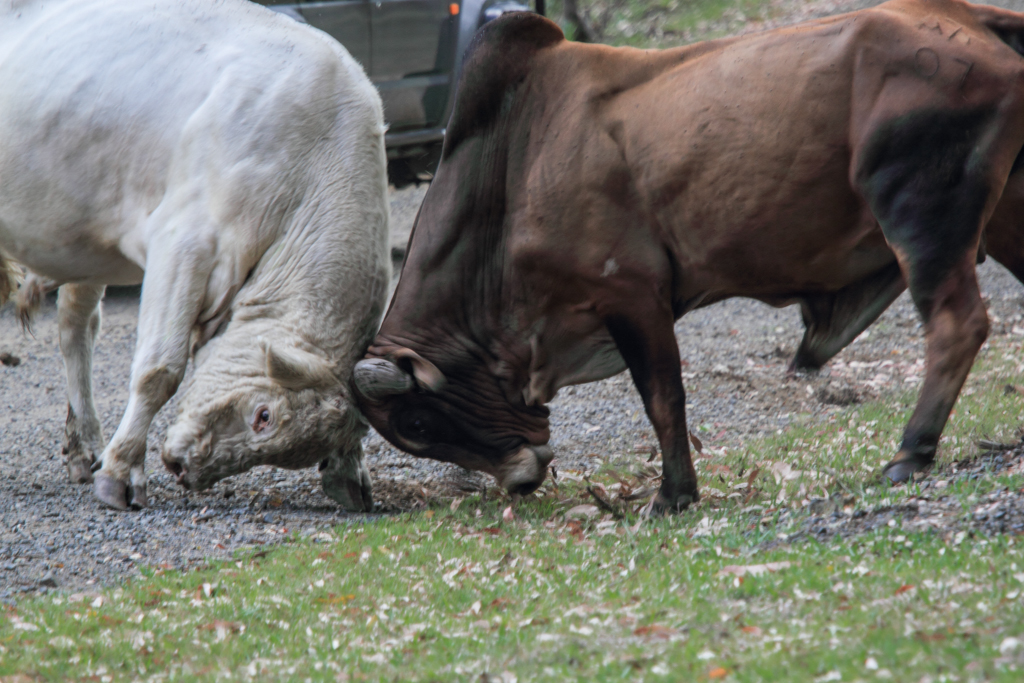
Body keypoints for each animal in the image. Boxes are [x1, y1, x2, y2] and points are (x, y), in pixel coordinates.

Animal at [0, 0, 390, 511]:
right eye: (263, 415)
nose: (185, 469)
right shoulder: (183, 240)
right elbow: (160, 368)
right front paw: (122, 471)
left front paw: (350, 469)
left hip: (83, 240)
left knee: (75, 328)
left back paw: (83, 447)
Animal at [352, 0, 1024, 514]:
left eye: (416, 424)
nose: (520, 478)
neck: (516, 163)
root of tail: (972, 19)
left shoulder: (630, 294)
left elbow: (663, 398)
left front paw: (673, 495)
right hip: (1003, 217)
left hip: (919, 216)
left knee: (957, 325)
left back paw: (911, 452)